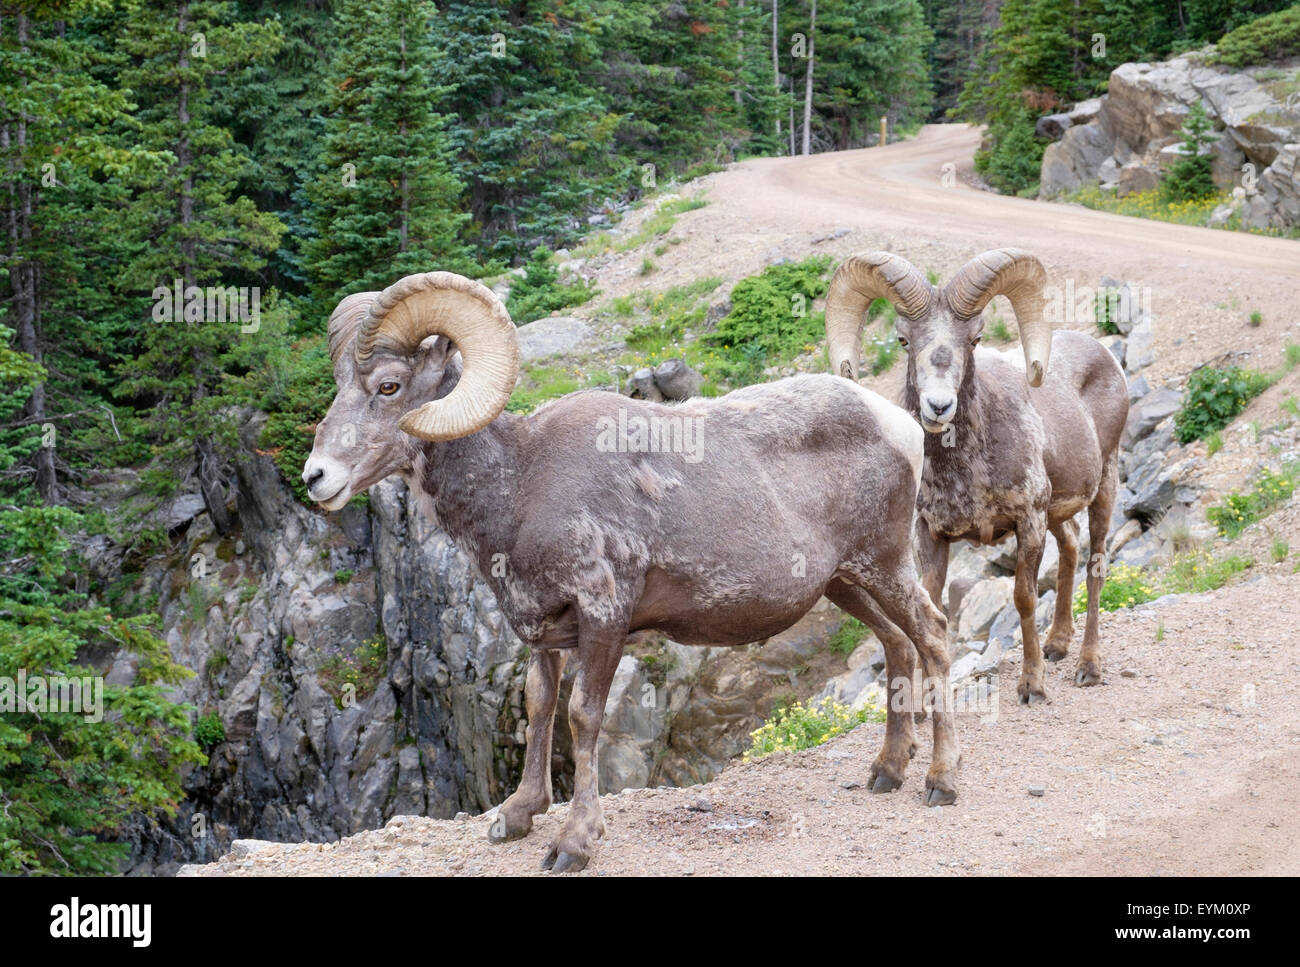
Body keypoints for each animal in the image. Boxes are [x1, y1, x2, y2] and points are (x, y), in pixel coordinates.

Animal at [302, 271, 957, 872]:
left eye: (388, 386)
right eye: (340, 386)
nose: (316, 478)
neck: (520, 485)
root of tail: (900, 425)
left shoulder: (604, 618)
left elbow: (581, 717)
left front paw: (573, 843)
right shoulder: (541, 633)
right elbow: (540, 706)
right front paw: (516, 817)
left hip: (885, 565)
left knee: (932, 636)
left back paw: (939, 784)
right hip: (847, 584)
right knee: (898, 646)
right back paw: (886, 772)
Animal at [824, 249, 1130, 704]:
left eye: (974, 339)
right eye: (904, 341)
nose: (938, 407)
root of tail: (1107, 359)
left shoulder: (1028, 522)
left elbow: (1024, 599)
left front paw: (1032, 686)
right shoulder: (930, 535)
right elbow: (932, 610)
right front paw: (924, 704)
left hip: (1104, 487)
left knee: (1095, 567)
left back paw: (1087, 667)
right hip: (1059, 513)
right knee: (1071, 548)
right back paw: (1057, 645)